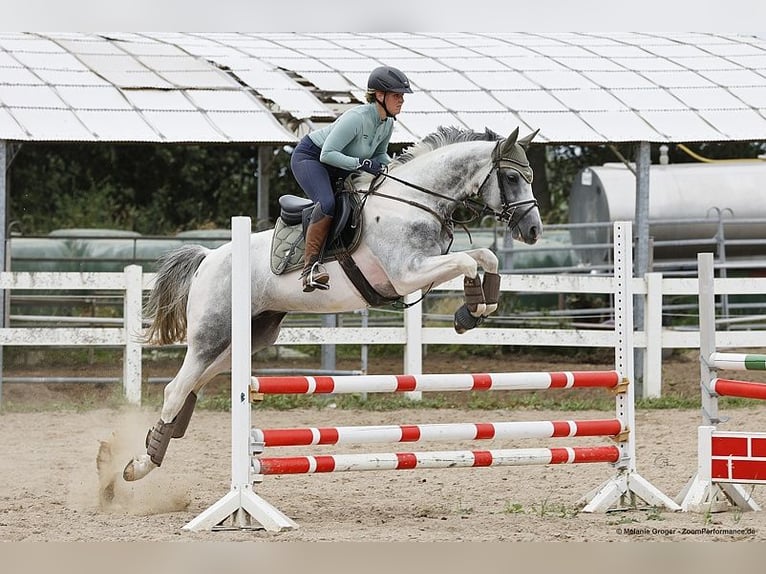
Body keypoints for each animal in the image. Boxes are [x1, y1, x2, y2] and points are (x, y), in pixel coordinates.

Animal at [120, 124, 544, 484]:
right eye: (511, 178)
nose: (533, 230)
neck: (413, 202)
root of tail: (208, 258)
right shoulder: (407, 273)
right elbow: (470, 261)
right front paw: (468, 312)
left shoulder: (424, 268)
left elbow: (485, 256)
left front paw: (478, 308)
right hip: (211, 336)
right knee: (175, 389)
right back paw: (140, 466)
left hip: (245, 339)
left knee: (192, 387)